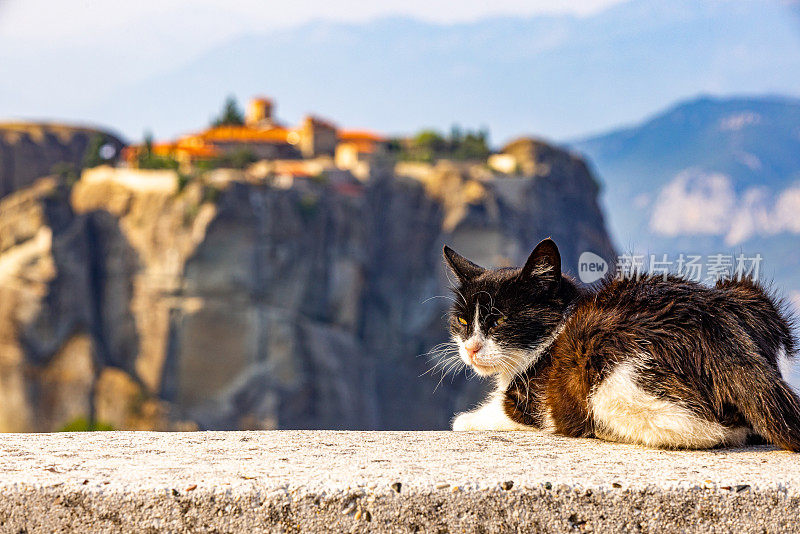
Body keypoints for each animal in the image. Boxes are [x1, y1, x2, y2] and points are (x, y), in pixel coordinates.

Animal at [444, 239, 800, 452]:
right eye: (462, 321)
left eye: (499, 321)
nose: (471, 348)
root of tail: (718, 325)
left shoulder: (533, 401)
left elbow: (503, 413)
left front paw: (466, 419)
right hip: (745, 289)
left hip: (605, 367)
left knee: (706, 429)